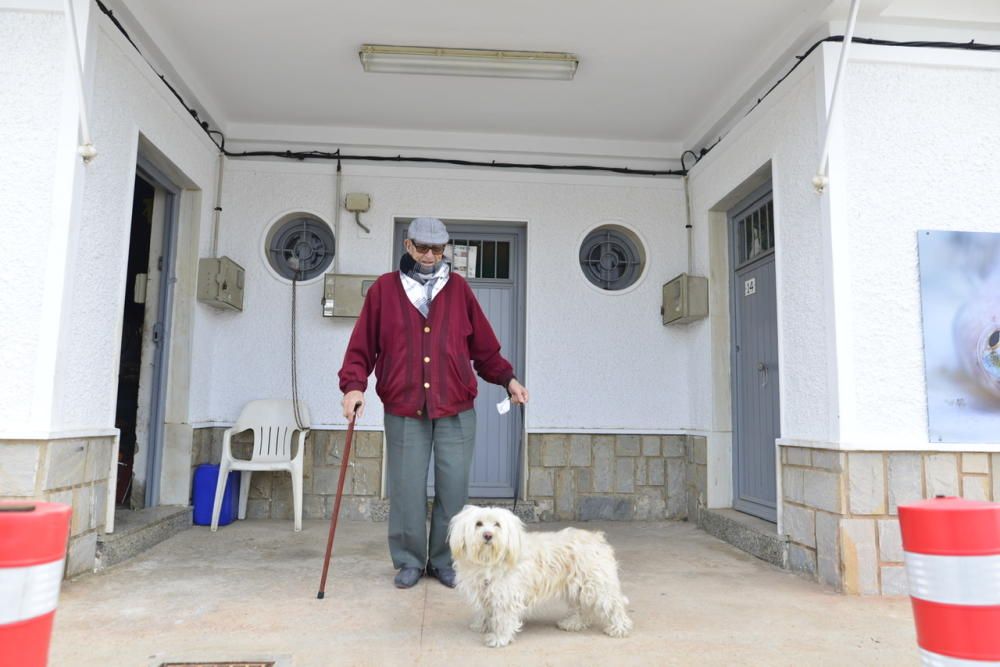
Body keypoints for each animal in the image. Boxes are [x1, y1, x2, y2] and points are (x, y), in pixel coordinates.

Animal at [448, 506, 628, 648]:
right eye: (478, 523)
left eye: (497, 524)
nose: (487, 535)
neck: (489, 561)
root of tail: (597, 538)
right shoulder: (485, 592)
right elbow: (485, 611)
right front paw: (482, 625)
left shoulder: (506, 596)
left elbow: (504, 619)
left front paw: (500, 638)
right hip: (578, 587)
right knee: (582, 608)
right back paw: (573, 623)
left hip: (597, 586)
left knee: (615, 605)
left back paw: (619, 628)